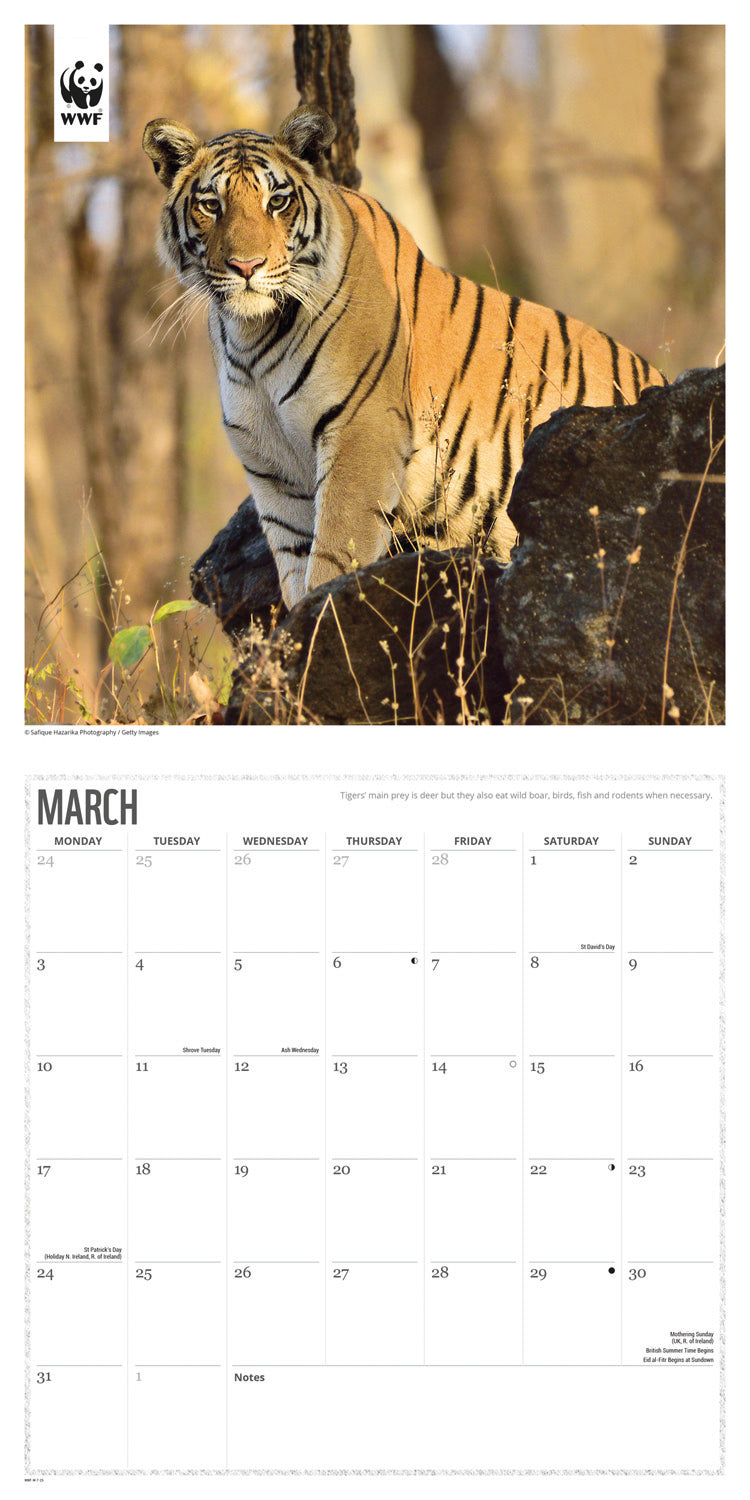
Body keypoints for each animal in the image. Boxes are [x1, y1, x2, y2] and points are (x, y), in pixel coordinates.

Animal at [143, 104, 667, 609]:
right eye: (211, 205)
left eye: (277, 201)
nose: (246, 266)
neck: (251, 335)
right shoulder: (273, 469)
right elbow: (295, 569)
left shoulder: (362, 434)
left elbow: (332, 558)